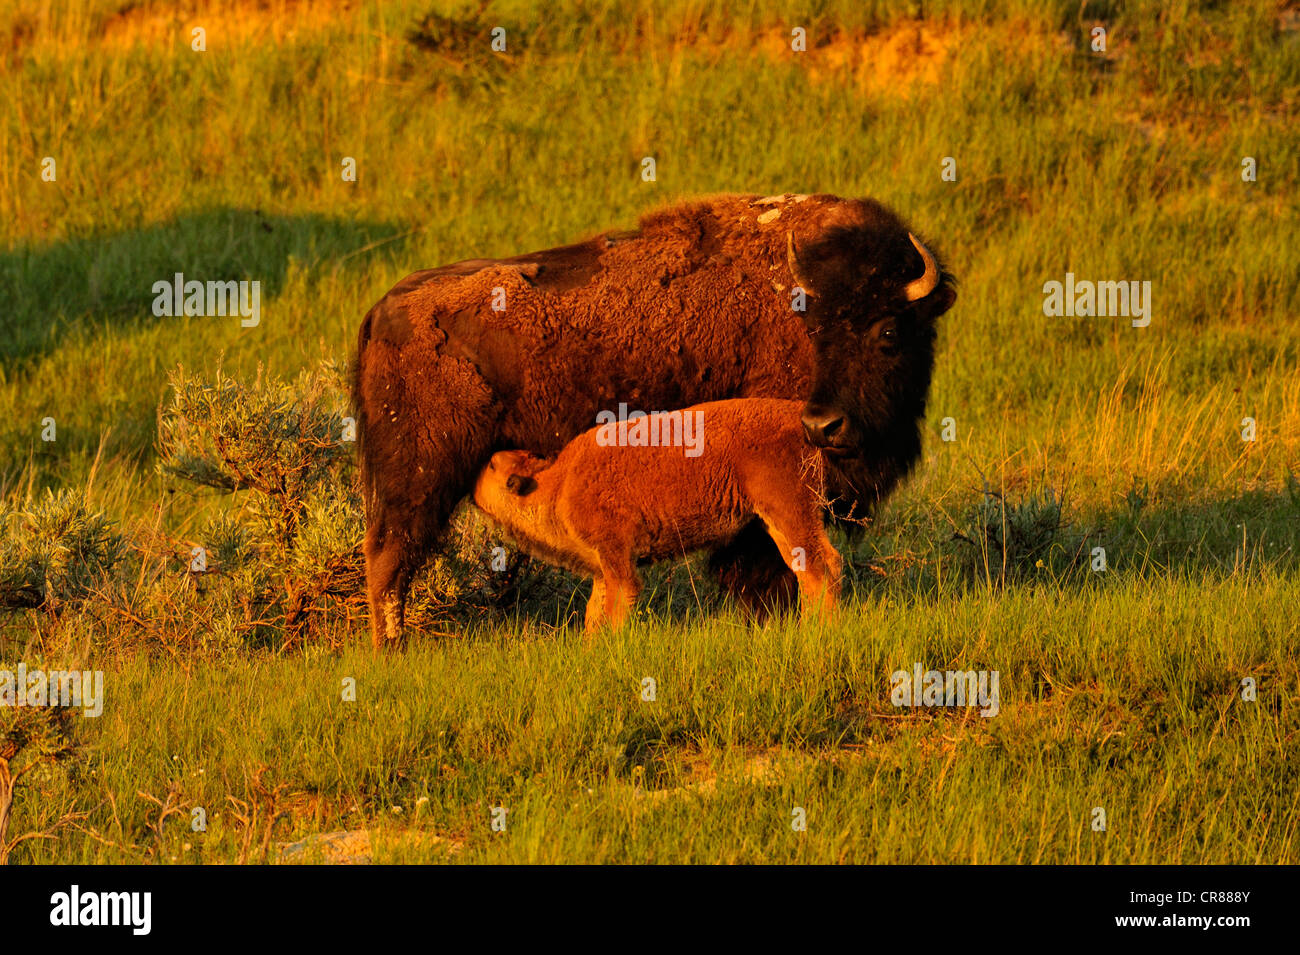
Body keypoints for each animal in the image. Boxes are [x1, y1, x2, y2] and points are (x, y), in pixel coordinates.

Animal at [470, 397, 842, 634]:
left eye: (493, 465)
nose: (476, 470)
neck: (556, 483)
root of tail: (798, 418)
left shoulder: (616, 556)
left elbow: (619, 602)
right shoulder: (602, 568)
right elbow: (594, 612)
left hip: (790, 511)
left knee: (819, 568)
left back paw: (818, 630)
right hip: (777, 520)